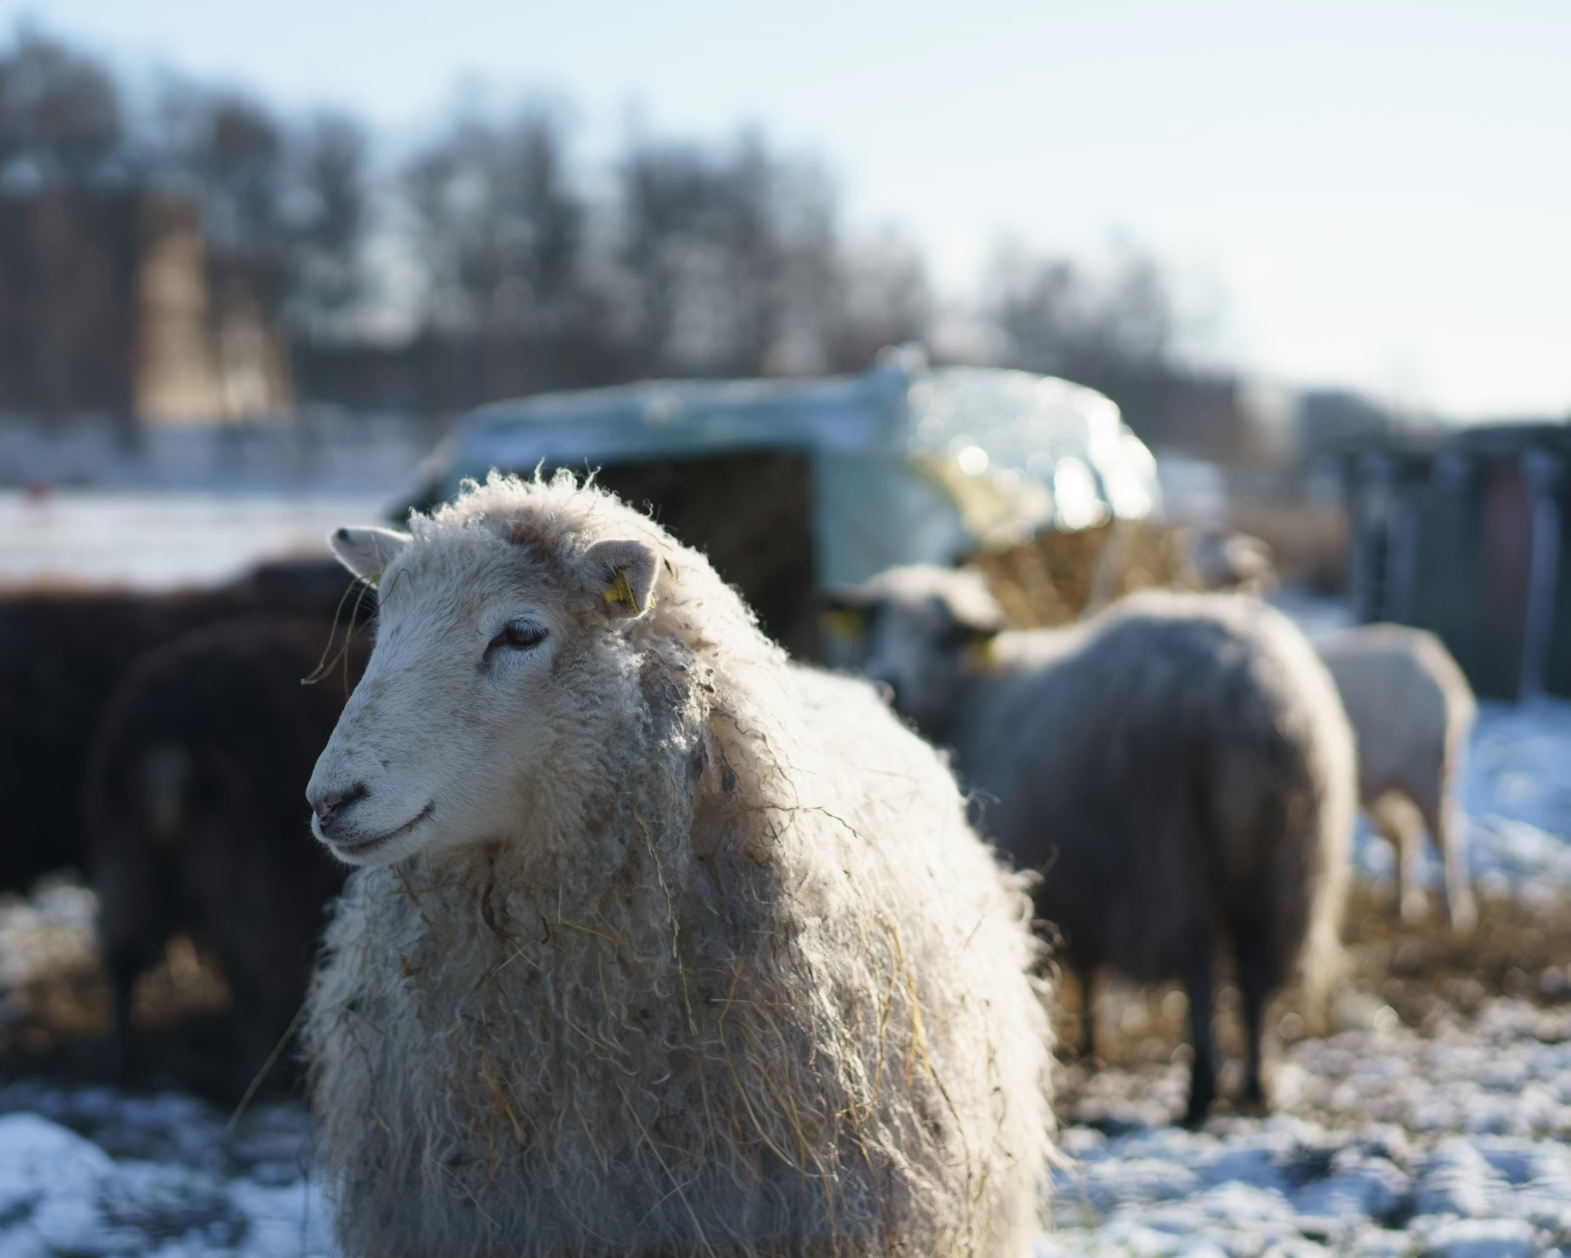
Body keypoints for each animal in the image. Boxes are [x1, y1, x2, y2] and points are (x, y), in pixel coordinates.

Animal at [83, 614, 367, 1094]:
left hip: (131, 854)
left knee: (123, 951)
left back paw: (123, 1064)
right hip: (244, 868)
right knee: (252, 971)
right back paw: (261, 1072)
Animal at [827, 567, 1354, 1127]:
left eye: (945, 637)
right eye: (871, 624)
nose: (887, 682)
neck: (973, 694)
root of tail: (1252, 694)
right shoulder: (1083, 886)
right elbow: (1088, 970)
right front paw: (1091, 1044)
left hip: (1174, 856)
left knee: (1199, 969)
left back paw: (1200, 1090)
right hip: (1287, 867)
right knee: (1256, 976)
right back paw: (1257, 1085)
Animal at [1314, 623, 1478, 932]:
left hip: (1429, 772)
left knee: (1448, 839)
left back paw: (1456, 916)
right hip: (1383, 787)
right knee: (1404, 834)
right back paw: (1402, 906)